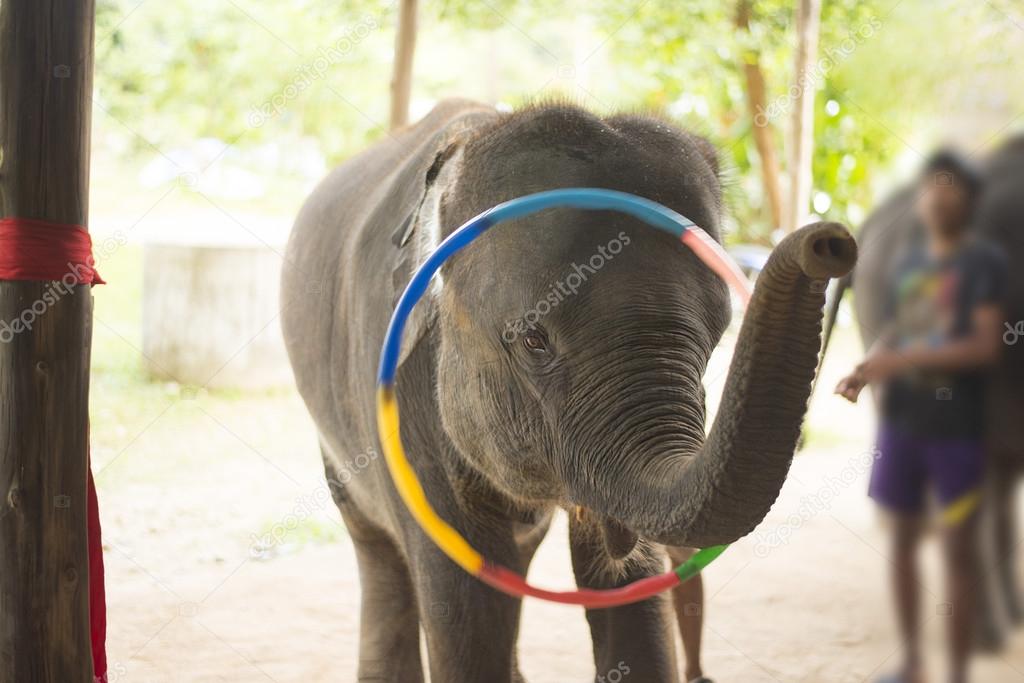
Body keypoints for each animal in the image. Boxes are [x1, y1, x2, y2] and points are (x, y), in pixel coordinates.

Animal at [280, 100, 856, 683]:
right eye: (534, 340)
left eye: (718, 336)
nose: (829, 243)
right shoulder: (404, 398)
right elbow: (466, 612)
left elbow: (629, 602)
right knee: (380, 550)